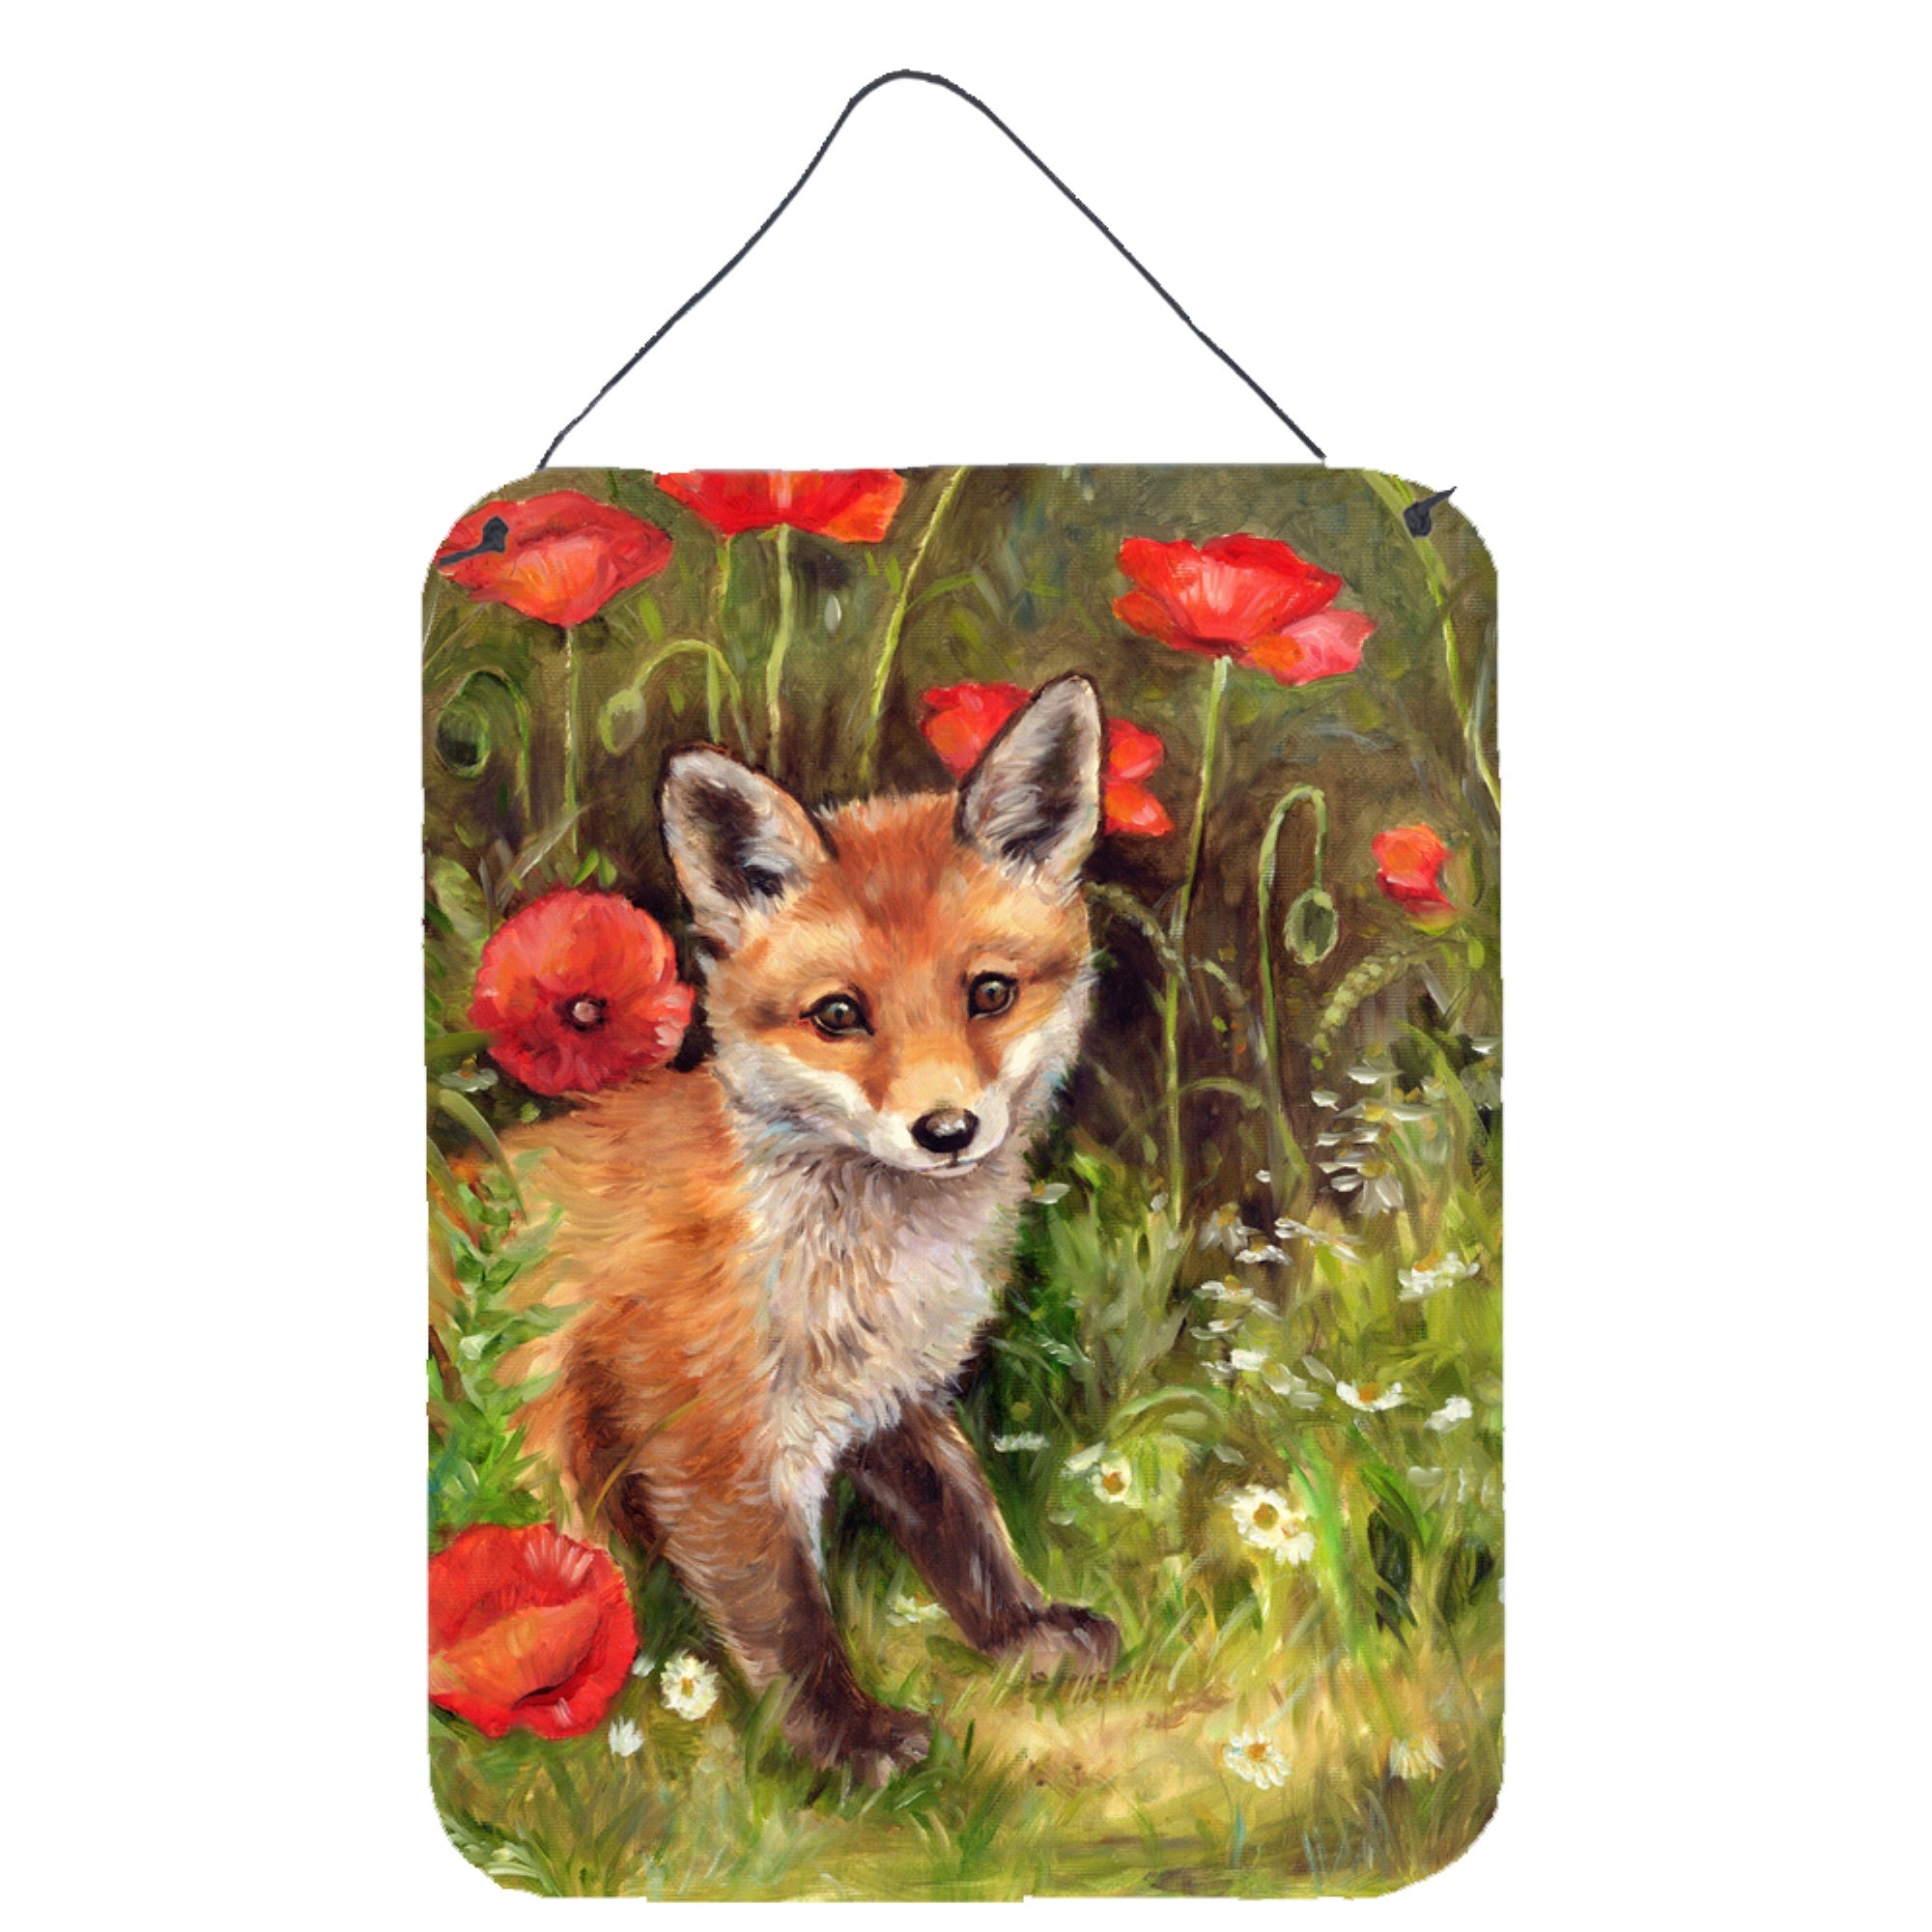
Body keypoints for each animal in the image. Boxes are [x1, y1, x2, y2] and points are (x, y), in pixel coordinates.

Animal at [495, 674, 1122, 1786]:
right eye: (838, 1015)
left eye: (990, 993)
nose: (946, 1131)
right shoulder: (704, 1443)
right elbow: (787, 1618)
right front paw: (844, 1742)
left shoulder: (892, 1398)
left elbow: (965, 1525)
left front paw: (1021, 1630)